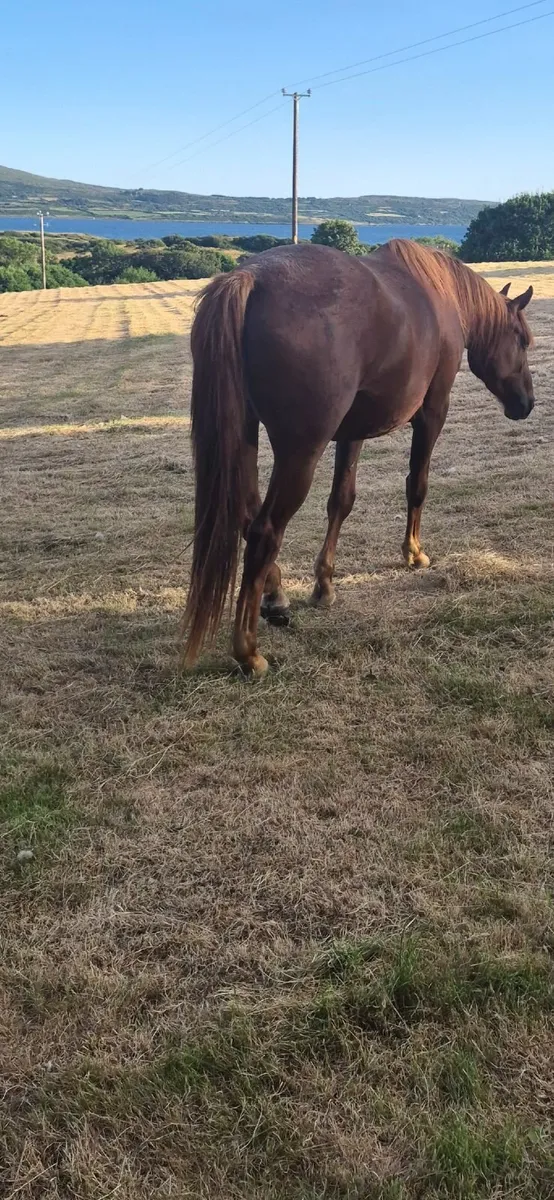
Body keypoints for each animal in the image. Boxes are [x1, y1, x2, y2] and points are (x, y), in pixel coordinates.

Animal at [181, 238, 534, 677]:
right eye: (522, 340)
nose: (527, 403)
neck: (442, 295)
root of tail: (249, 277)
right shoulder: (433, 413)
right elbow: (417, 485)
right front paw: (414, 552)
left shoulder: (351, 433)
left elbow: (341, 502)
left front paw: (324, 585)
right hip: (301, 452)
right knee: (265, 531)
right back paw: (249, 652)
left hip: (245, 434)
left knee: (248, 516)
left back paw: (275, 598)